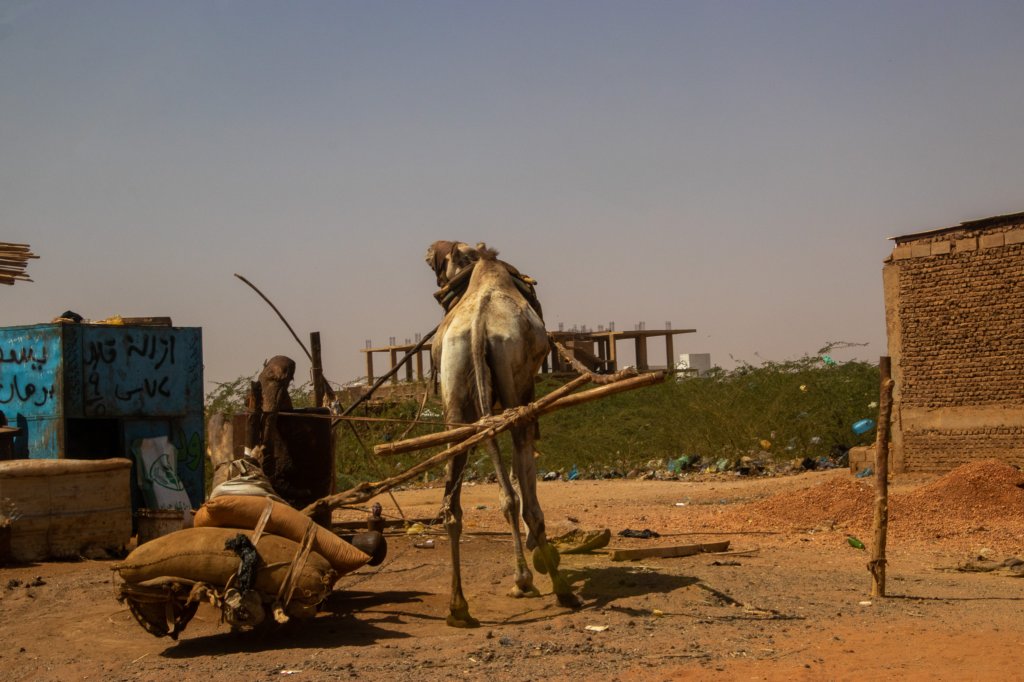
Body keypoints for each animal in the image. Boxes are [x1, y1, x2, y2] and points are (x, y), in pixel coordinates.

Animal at [425, 240, 585, 626]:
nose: (441, 292)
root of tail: (479, 325)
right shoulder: (521, 395)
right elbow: (524, 480)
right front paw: (534, 567)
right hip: (516, 386)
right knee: (522, 490)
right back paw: (552, 585)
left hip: (458, 399)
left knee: (453, 505)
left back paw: (459, 607)